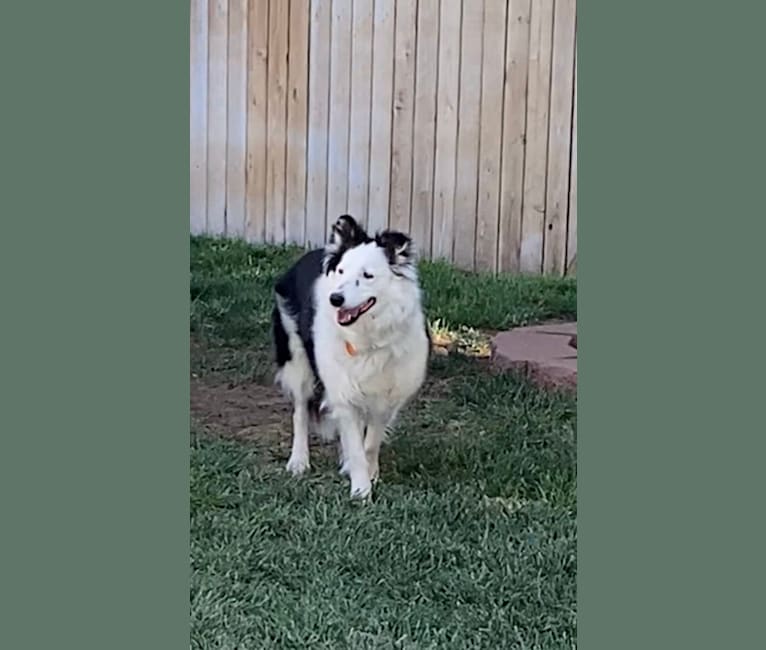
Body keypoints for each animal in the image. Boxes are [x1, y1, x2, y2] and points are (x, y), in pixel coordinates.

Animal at [274, 214, 432, 496]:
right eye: (341, 271)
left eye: (367, 275)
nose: (335, 298)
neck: (366, 336)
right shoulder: (343, 393)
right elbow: (355, 446)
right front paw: (361, 491)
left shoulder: (385, 399)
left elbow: (369, 444)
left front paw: (369, 475)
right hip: (297, 362)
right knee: (300, 412)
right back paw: (298, 461)